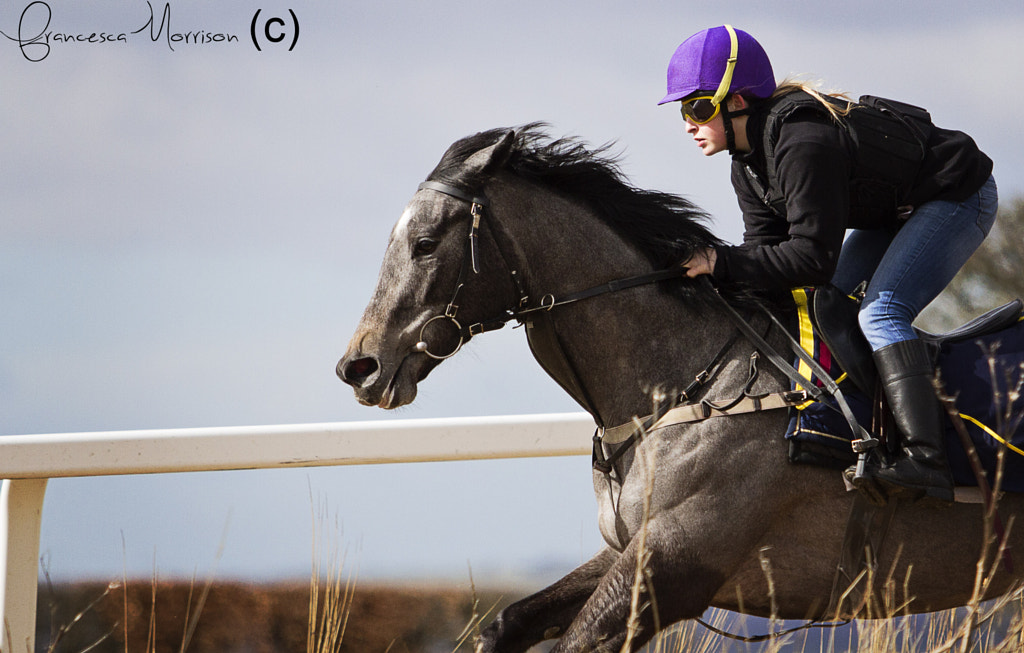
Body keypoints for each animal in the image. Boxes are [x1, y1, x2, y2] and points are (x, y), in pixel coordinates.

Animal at [336, 123, 1024, 652]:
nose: (358, 367)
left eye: (425, 243)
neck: (688, 391)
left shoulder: (675, 567)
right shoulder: (634, 548)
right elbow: (506, 621)